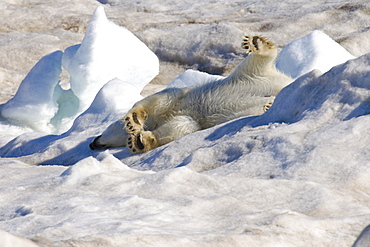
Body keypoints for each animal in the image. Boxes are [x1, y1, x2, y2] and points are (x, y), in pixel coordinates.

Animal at [89, 35, 292, 152]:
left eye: (105, 133)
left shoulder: (179, 98)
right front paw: (141, 141)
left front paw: (134, 123)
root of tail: (284, 83)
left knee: (257, 61)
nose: (94, 143)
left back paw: (258, 44)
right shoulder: (190, 118)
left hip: (248, 76)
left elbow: (161, 99)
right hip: (253, 78)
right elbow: (180, 127)